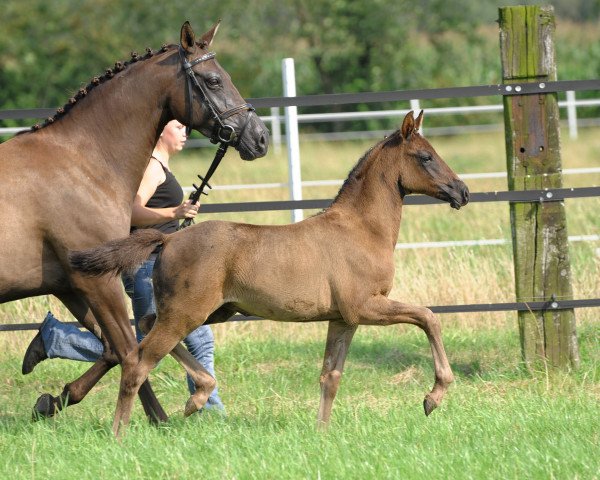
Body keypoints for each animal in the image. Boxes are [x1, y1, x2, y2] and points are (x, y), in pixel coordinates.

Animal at [69, 111, 468, 436]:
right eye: (426, 157)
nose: (462, 192)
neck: (361, 230)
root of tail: (170, 239)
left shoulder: (343, 318)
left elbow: (330, 376)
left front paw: (322, 433)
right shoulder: (365, 307)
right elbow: (428, 317)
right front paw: (434, 396)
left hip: (211, 310)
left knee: (147, 325)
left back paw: (197, 397)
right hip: (187, 312)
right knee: (139, 362)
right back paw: (120, 434)